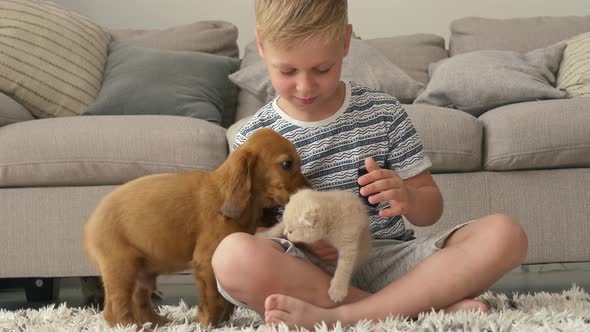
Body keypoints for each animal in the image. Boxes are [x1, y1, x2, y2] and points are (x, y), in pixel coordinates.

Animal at [85, 128, 312, 328]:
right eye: (287, 164)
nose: (311, 190)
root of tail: (89, 225)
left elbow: (225, 300)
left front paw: (224, 321)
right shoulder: (206, 262)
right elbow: (213, 299)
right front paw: (207, 323)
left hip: (141, 272)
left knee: (140, 303)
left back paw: (161, 322)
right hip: (121, 267)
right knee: (114, 310)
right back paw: (134, 326)